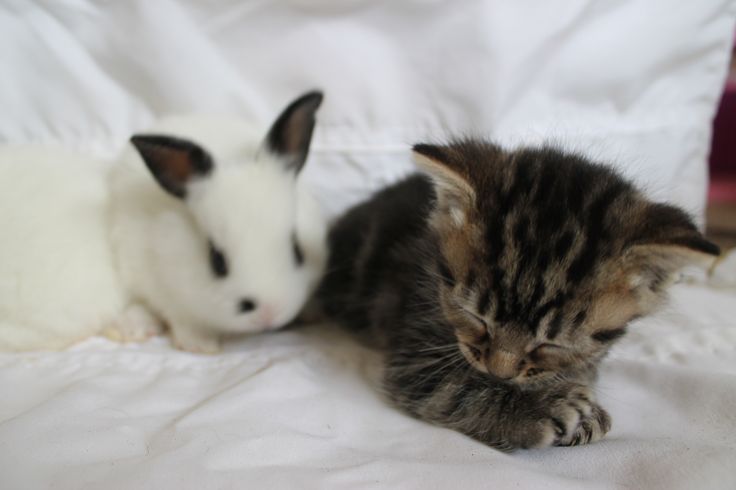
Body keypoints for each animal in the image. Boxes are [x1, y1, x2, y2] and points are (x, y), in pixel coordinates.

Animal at [0, 92, 324, 352]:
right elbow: (183, 321)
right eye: (216, 261)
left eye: (298, 250)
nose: (269, 313)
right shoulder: (166, 291)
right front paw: (200, 346)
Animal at [316, 139, 720, 452]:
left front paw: (575, 398)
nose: (499, 371)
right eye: (474, 316)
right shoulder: (415, 352)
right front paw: (538, 408)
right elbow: (454, 388)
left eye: (553, 344)